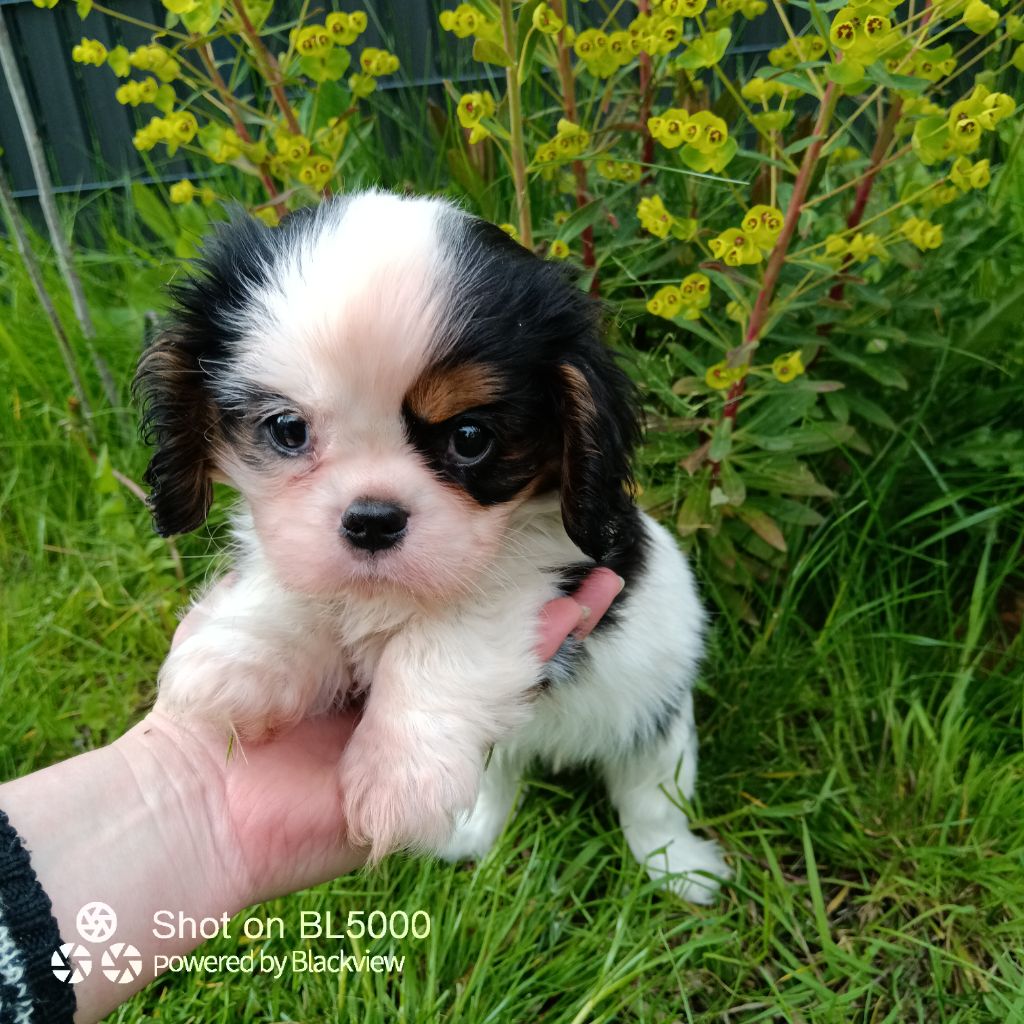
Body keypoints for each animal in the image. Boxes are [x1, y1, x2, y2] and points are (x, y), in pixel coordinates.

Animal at [138, 188, 729, 901]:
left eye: (470, 438)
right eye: (287, 430)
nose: (371, 520)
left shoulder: (545, 570)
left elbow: (442, 642)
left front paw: (400, 775)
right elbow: (292, 590)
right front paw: (235, 660)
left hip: (659, 729)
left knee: (649, 805)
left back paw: (680, 867)